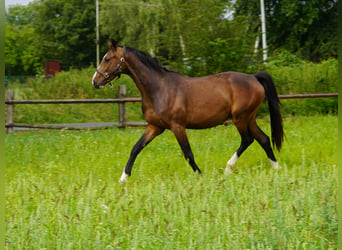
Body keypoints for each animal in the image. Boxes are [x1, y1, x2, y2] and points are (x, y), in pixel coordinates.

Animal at [91, 40, 284, 183]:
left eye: (107, 58)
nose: (95, 81)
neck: (158, 89)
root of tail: (254, 78)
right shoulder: (154, 127)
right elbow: (136, 148)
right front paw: (123, 178)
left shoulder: (177, 127)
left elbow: (188, 154)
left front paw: (200, 175)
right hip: (249, 119)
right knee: (264, 139)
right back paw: (276, 168)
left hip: (240, 119)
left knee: (247, 140)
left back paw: (229, 168)